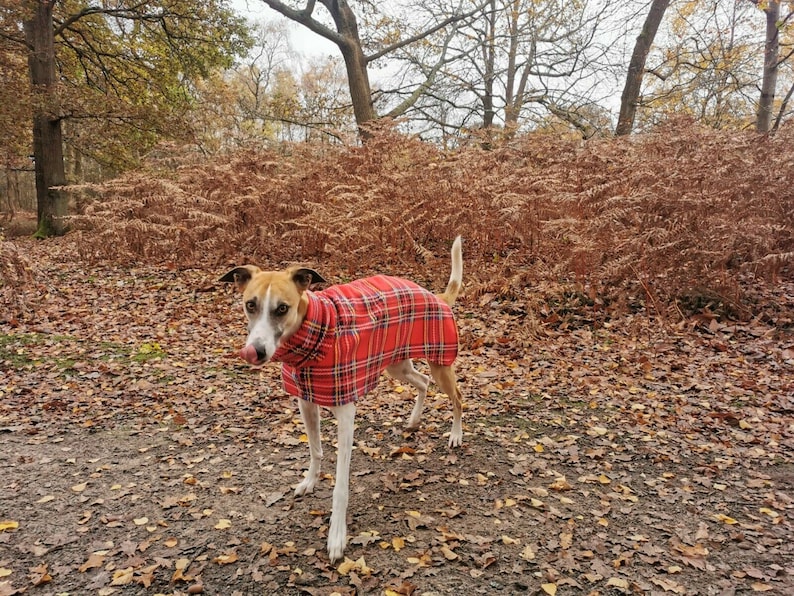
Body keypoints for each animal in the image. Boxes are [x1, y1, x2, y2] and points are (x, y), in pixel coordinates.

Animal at [218, 235, 464, 560]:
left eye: (282, 308)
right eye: (250, 305)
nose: (254, 352)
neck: (311, 338)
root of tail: (437, 296)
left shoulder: (346, 416)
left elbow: (341, 487)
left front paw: (336, 535)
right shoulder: (306, 403)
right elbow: (315, 450)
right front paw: (310, 481)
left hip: (440, 363)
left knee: (457, 397)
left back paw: (456, 435)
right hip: (397, 366)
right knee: (422, 382)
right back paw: (413, 421)